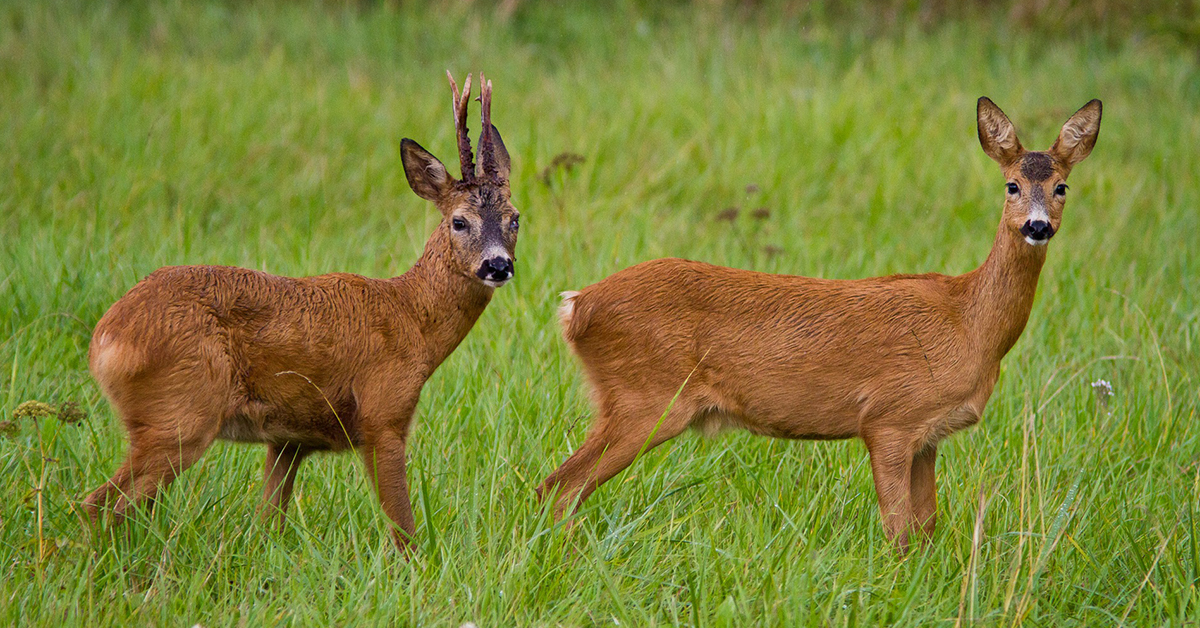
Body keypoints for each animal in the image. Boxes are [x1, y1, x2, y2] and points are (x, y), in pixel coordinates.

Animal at [83, 71, 516, 547]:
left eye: (515, 218)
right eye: (459, 221)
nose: (498, 265)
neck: (412, 318)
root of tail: (105, 339)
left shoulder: (288, 439)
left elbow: (269, 520)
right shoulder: (383, 414)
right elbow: (403, 530)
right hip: (179, 412)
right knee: (100, 505)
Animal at [540, 97, 1099, 549]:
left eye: (1062, 186)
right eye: (1012, 185)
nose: (1037, 227)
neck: (970, 323)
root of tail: (577, 305)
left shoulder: (928, 435)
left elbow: (926, 528)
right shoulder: (889, 417)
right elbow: (898, 531)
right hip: (644, 396)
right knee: (560, 486)